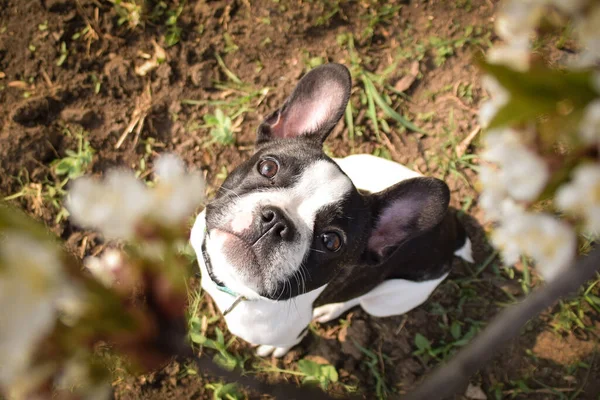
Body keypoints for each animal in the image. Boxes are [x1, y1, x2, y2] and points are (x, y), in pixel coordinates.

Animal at [190, 64, 472, 358]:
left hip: (387, 301)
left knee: (361, 298)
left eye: (331, 241)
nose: (276, 221)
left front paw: (276, 349)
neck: (233, 282)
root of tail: (453, 232)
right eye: (267, 167)